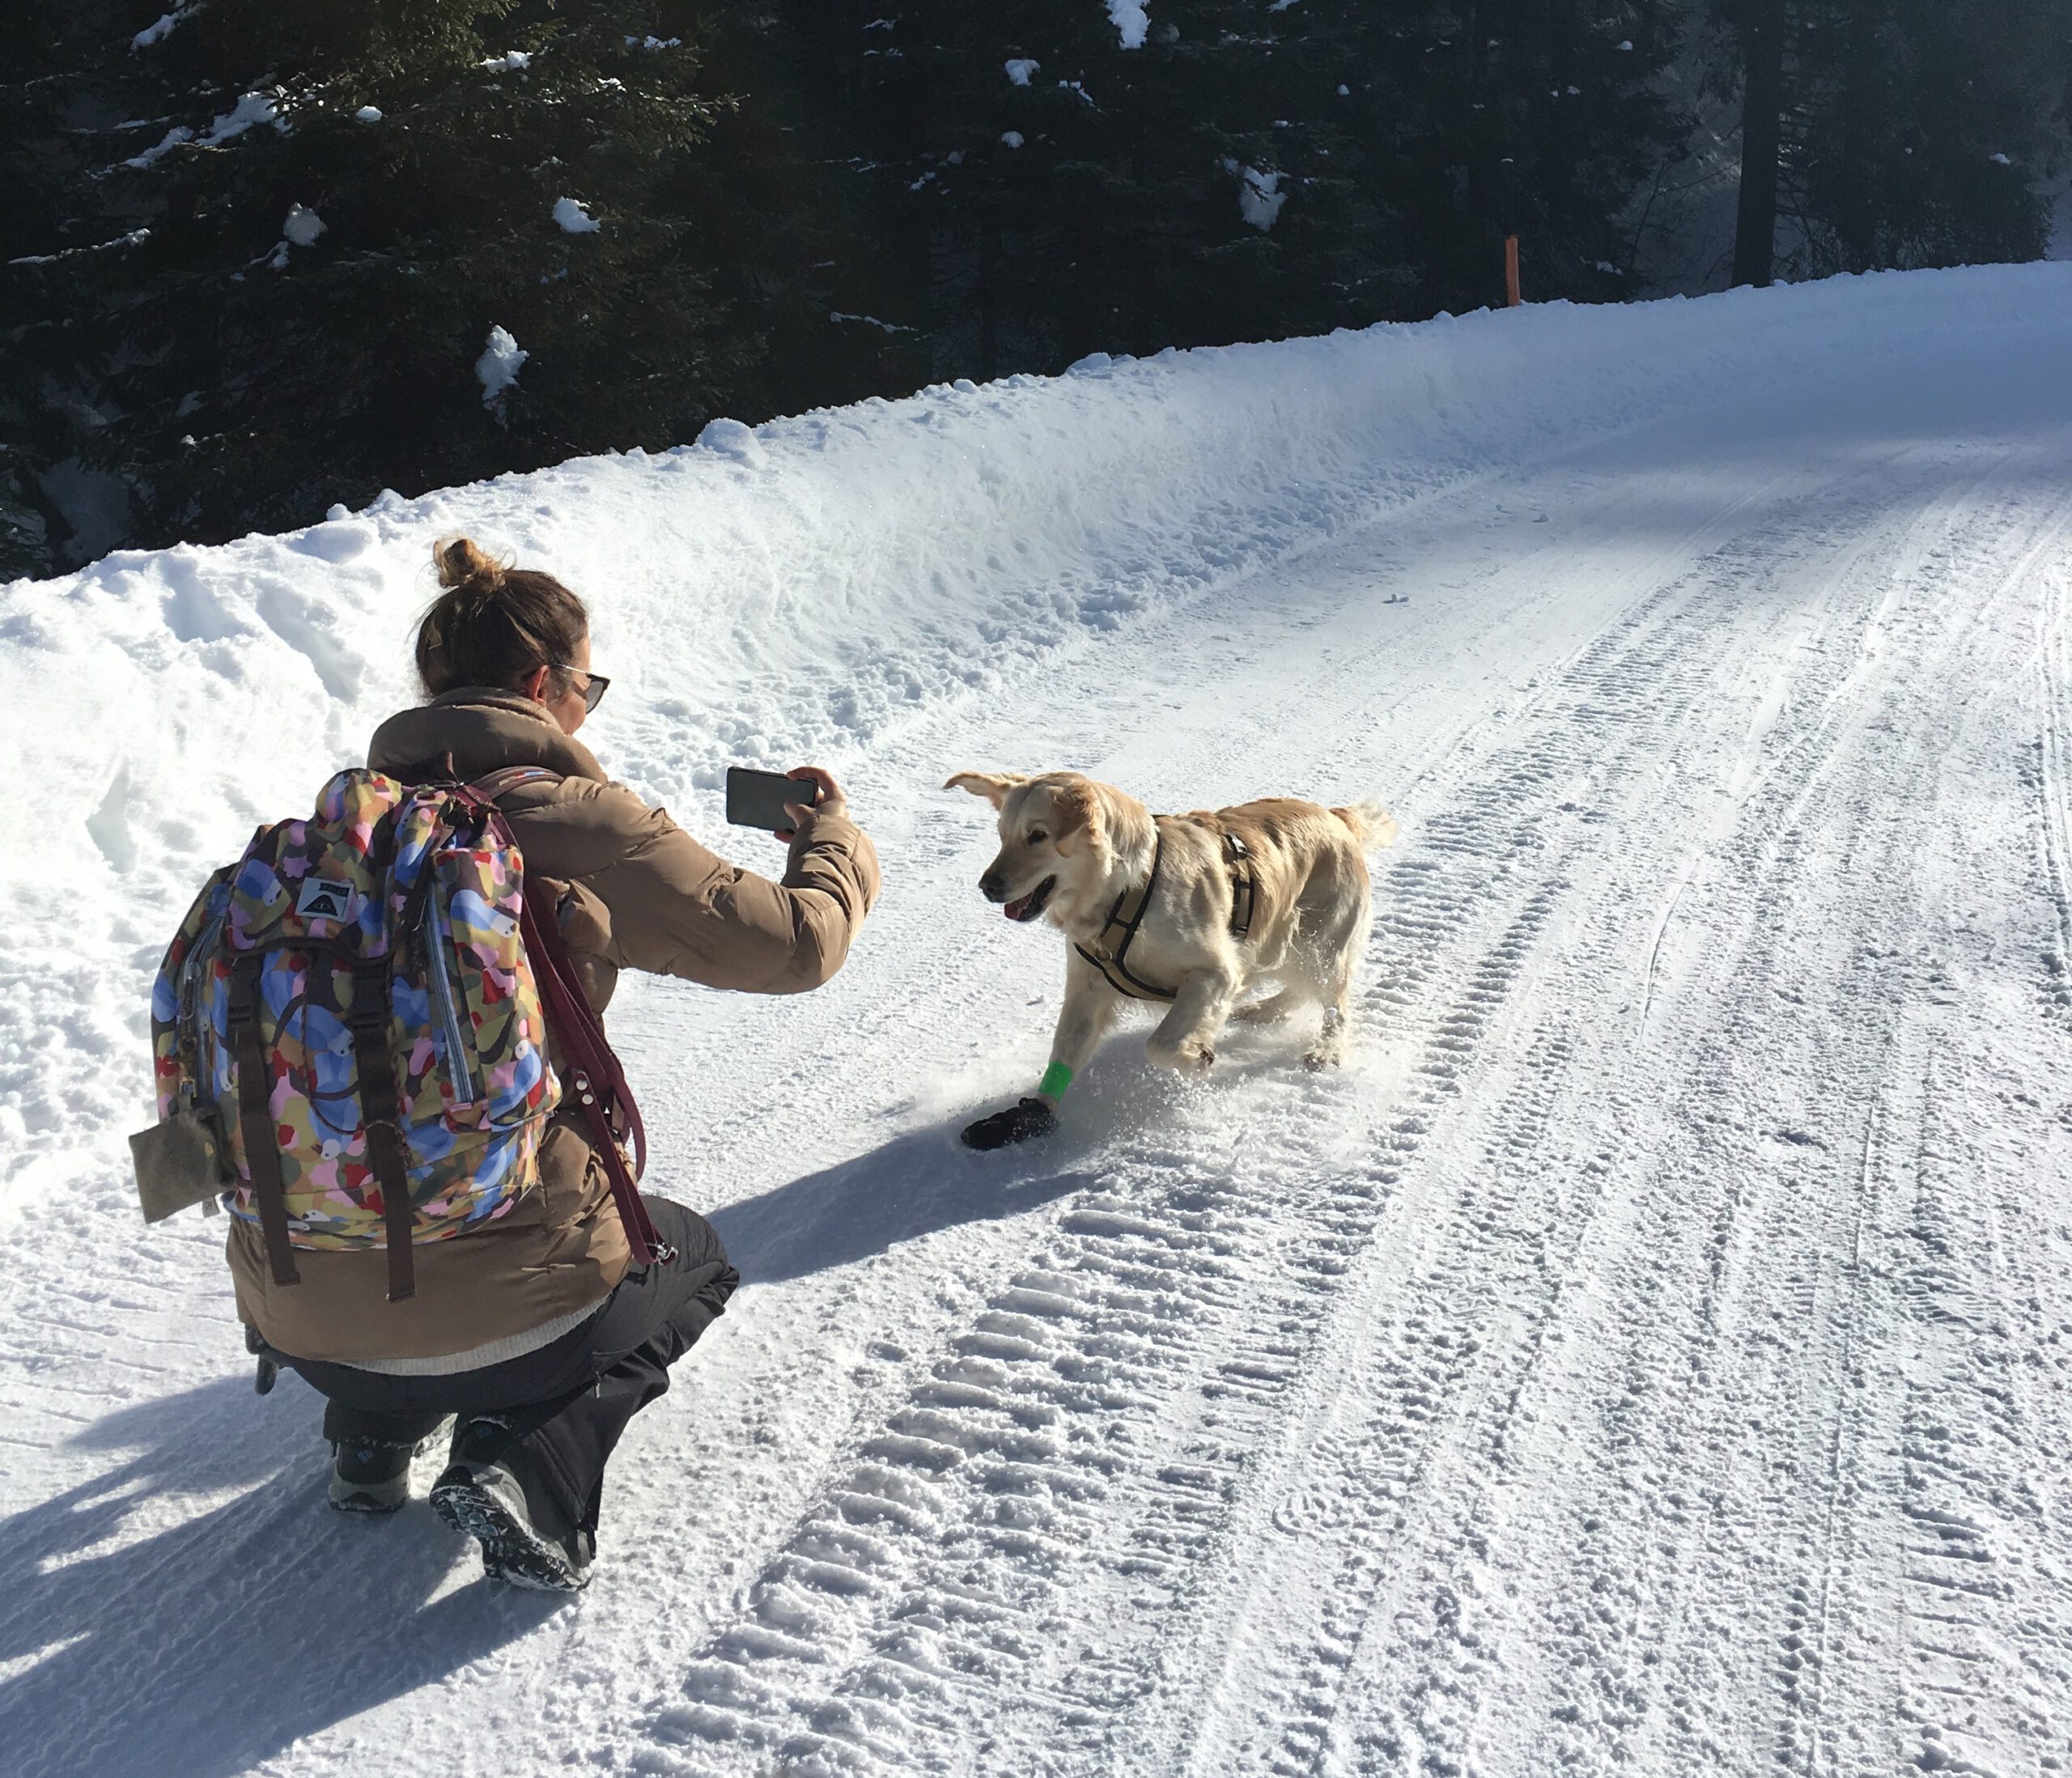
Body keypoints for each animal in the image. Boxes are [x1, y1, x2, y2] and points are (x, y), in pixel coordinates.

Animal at [949, 770, 1400, 1144]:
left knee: (1335, 1002)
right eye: (1003, 834)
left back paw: (1327, 1050)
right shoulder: (1087, 987)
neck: (1126, 891)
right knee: (1298, 990)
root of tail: (1335, 816)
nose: (987, 886)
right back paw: (1260, 1011)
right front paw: (1030, 1117)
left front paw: (1196, 1058)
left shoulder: (1215, 973)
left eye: (1038, 835)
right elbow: (1065, 1051)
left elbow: (1160, 1044)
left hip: (1316, 944)